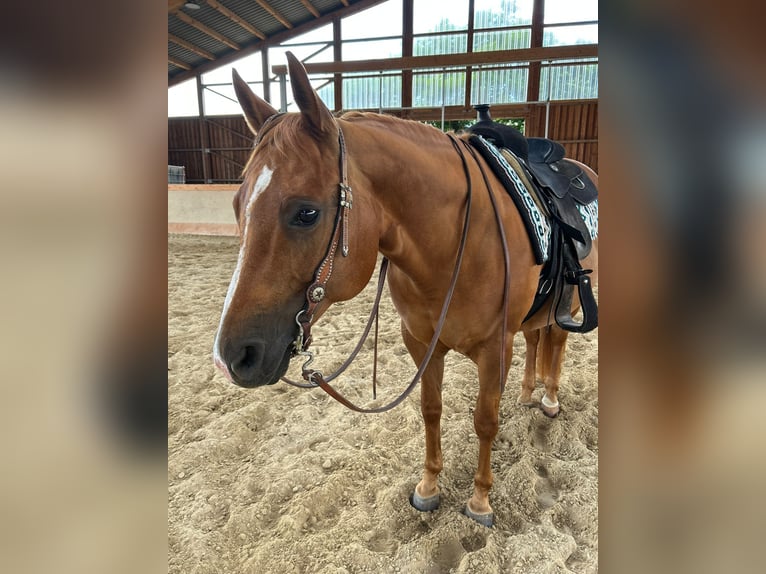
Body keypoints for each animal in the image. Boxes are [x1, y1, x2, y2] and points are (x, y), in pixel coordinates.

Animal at [213, 52, 598, 527]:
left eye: (306, 213)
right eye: (237, 205)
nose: (231, 358)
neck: (452, 244)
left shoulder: (495, 348)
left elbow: (485, 420)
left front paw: (480, 500)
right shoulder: (420, 342)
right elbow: (430, 410)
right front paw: (429, 486)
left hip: (569, 302)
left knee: (556, 341)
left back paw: (547, 398)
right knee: (535, 338)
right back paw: (528, 392)